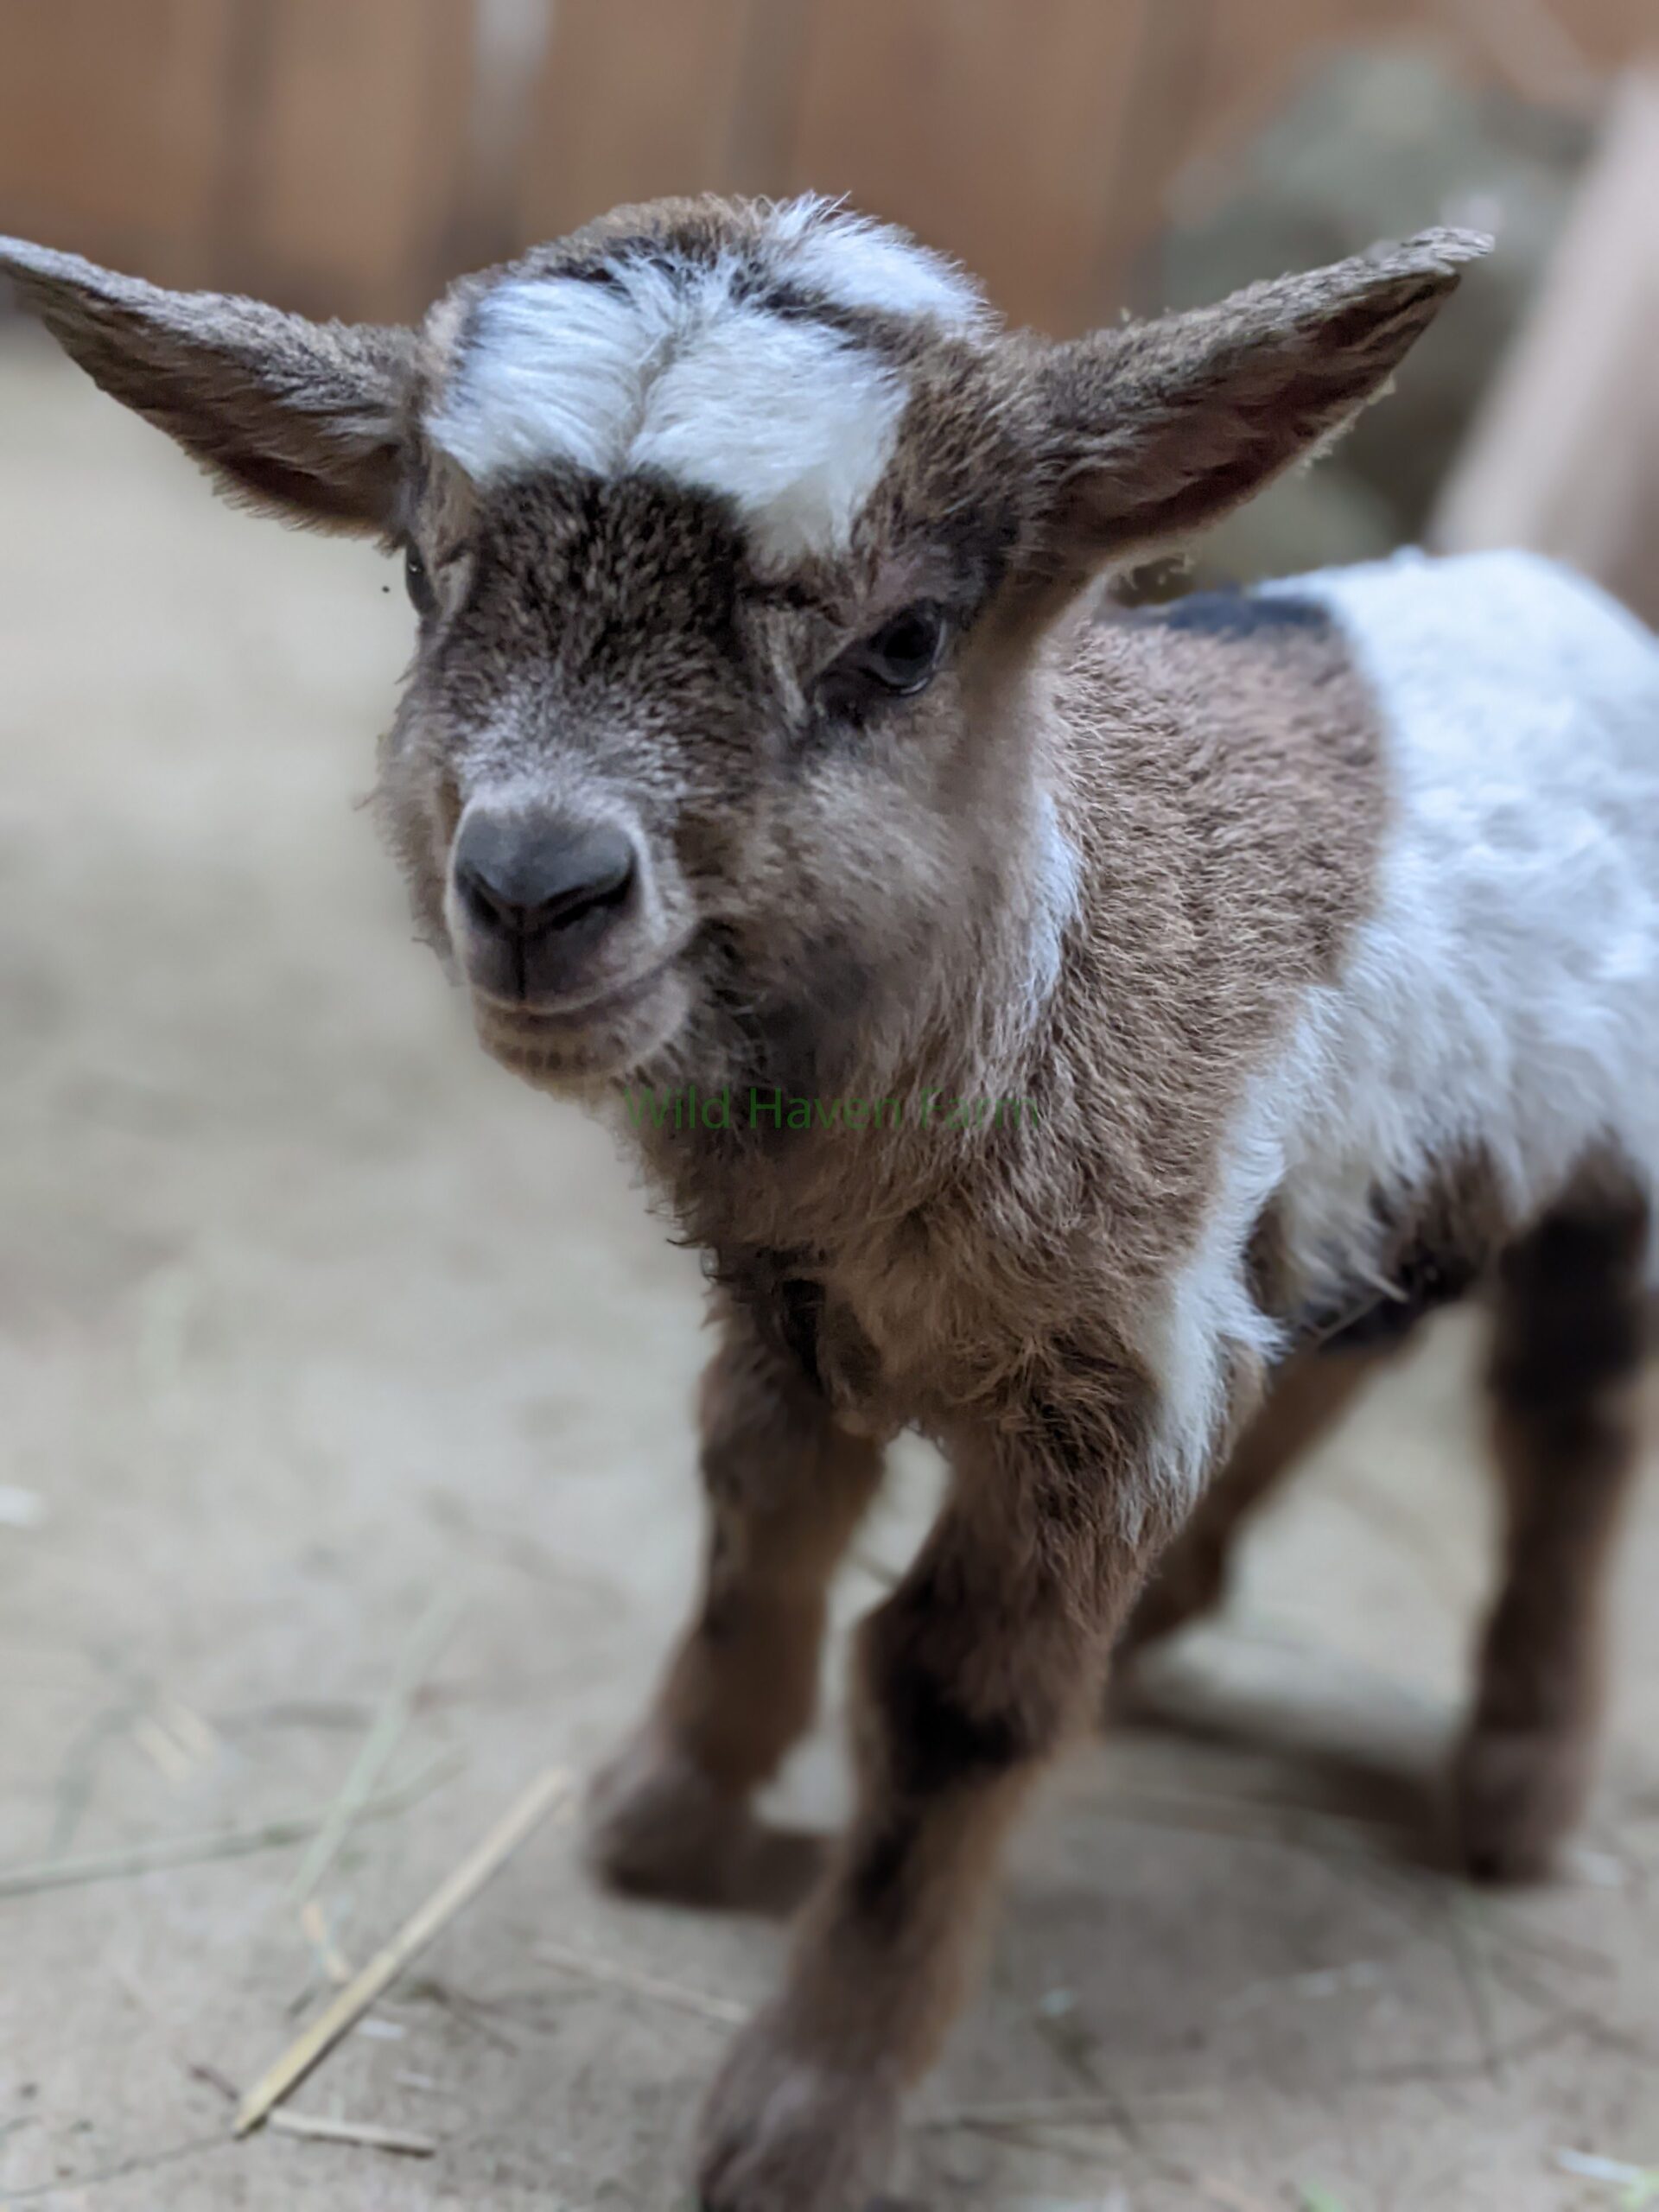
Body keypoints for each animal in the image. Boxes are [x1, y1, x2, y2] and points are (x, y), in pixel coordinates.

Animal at [6, 197, 1657, 2212]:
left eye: (904, 642)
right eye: (418, 577)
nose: (535, 886)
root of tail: (1575, 601)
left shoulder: (1100, 1374)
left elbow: (952, 1698)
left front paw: (808, 2108)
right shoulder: (800, 1307)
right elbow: (752, 1526)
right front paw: (670, 1812)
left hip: (1608, 1154)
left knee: (1569, 1415)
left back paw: (1517, 1780)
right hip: (1379, 1178)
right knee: (1344, 1347)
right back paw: (1184, 1618)